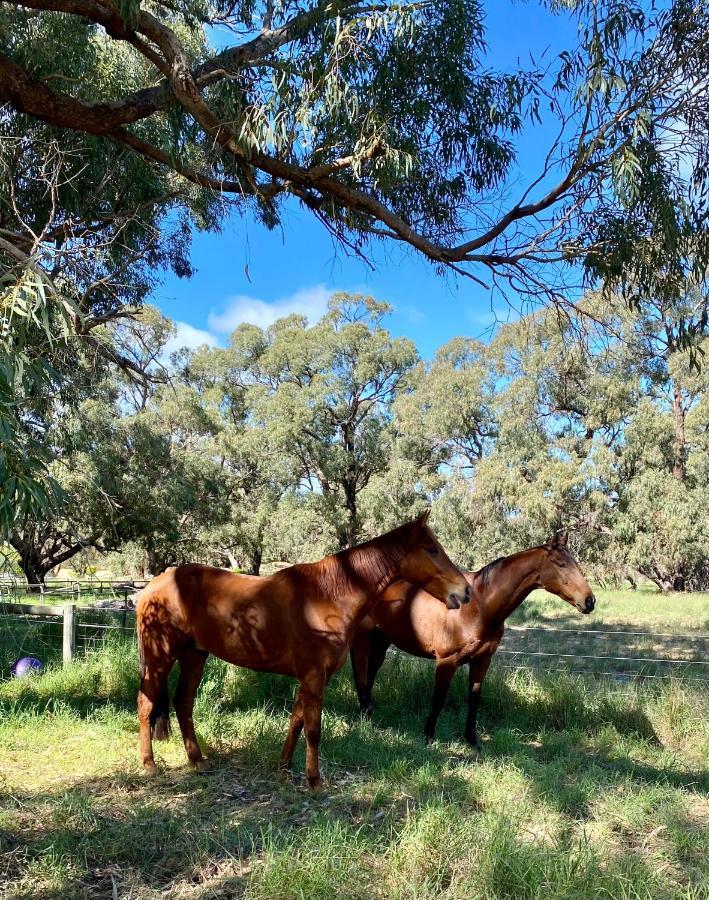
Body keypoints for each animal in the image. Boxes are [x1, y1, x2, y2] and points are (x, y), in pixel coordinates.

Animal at [138, 512, 470, 788]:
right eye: (432, 548)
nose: (464, 591)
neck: (328, 594)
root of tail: (155, 584)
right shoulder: (313, 676)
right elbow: (313, 729)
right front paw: (315, 781)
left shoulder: (313, 677)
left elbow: (297, 722)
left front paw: (285, 769)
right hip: (159, 657)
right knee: (146, 703)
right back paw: (149, 764)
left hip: (194, 655)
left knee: (183, 702)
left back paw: (197, 760)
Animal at [352, 536, 596, 744]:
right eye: (560, 564)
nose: (589, 601)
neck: (479, 605)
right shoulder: (446, 661)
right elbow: (439, 698)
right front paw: (428, 736)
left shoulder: (482, 660)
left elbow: (474, 698)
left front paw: (472, 739)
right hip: (362, 640)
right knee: (361, 674)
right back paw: (364, 715)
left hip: (382, 640)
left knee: (371, 672)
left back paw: (369, 711)